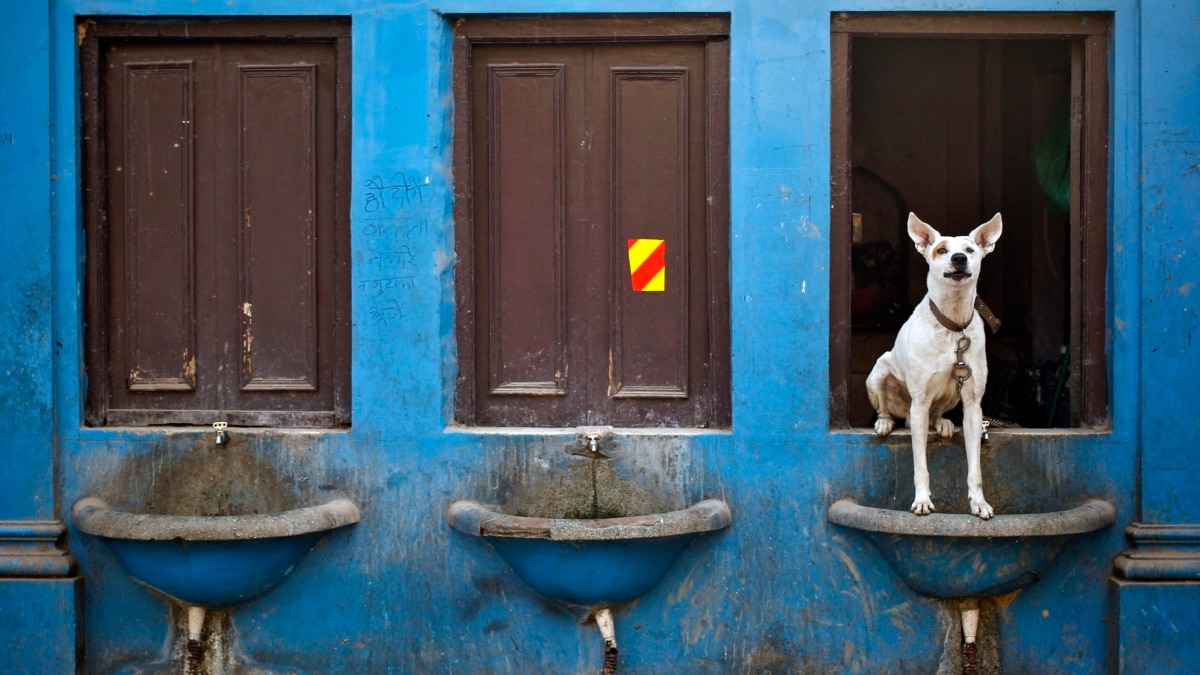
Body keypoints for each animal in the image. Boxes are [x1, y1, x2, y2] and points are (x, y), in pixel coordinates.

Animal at [868, 212, 998, 516]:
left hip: (952, 395)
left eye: (970, 249)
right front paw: (922, 500)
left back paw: (943, 423)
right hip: (878, 373)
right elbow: (920, 466)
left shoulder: (973, 406)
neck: (953, 324)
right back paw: (884, 423)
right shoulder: (919, 404)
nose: (959, 258)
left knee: (939, 412)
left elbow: (975, 468)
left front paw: (979, 502)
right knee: (885, 407)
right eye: (941, 250)